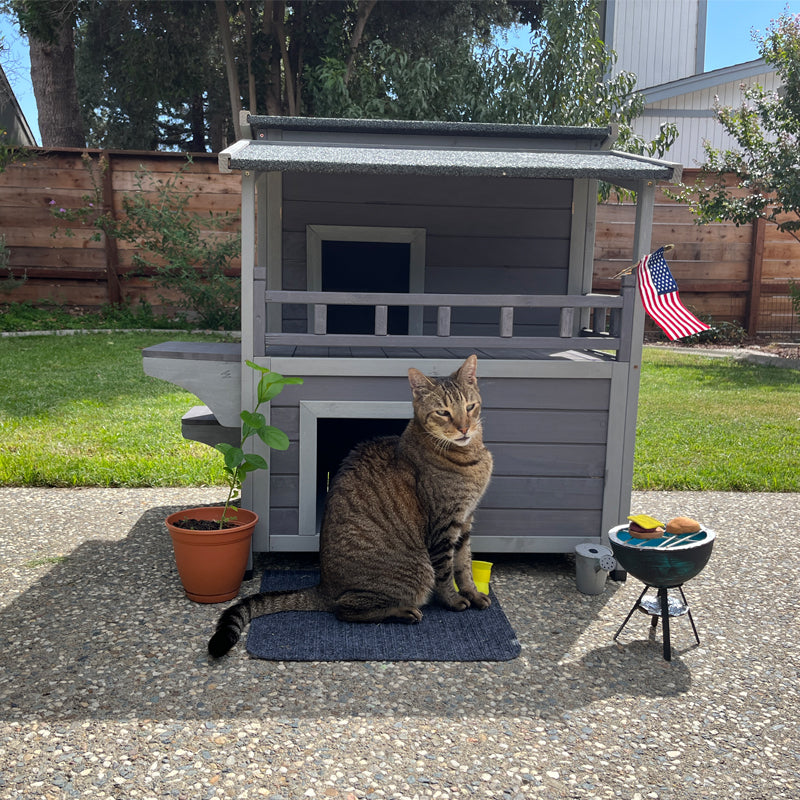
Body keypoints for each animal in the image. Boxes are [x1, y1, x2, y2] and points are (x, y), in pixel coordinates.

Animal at [206, 354, 494, 656]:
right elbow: (446, 570)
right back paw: (402, 612)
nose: (464, 428)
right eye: (443, 412)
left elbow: (464, 565)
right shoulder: (444, 525)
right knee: (345, 611)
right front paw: (454, 601)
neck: (469, 455)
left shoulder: (465, 520)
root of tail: (324, 587)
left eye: (470, 407)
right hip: (414, 573)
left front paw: (473, 594)